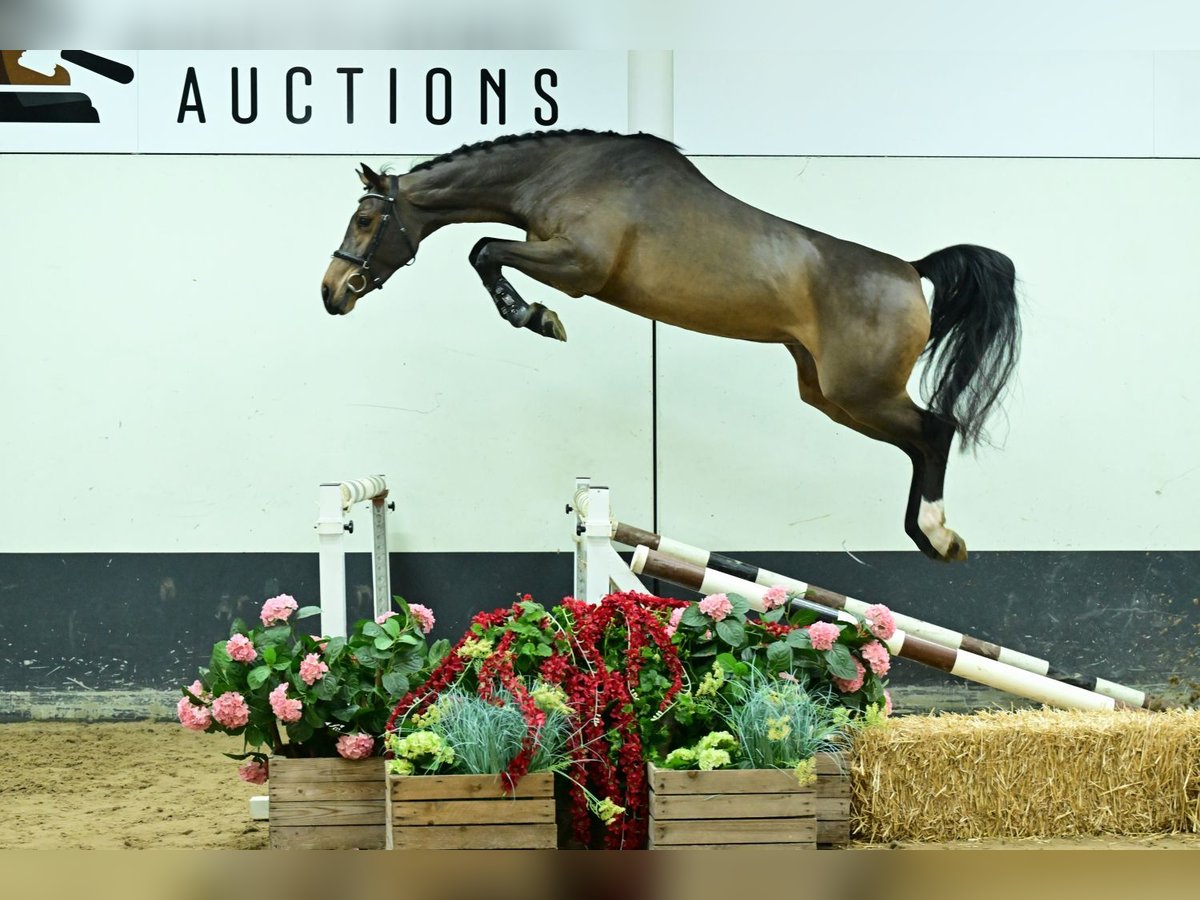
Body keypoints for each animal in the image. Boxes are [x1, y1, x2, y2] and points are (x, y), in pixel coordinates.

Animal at [320, 129, 1020, 563]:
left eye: (365, 220)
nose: (332, 293)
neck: (561, 173)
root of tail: (910, 270)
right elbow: (484, 249)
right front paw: (534, 315)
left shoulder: (578, 266)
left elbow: (484, 248)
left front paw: (537, 317)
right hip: (828, 395)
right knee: (917, 440)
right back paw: (927, 536)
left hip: (862, 391)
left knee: (936, 429)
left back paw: (938, 535)